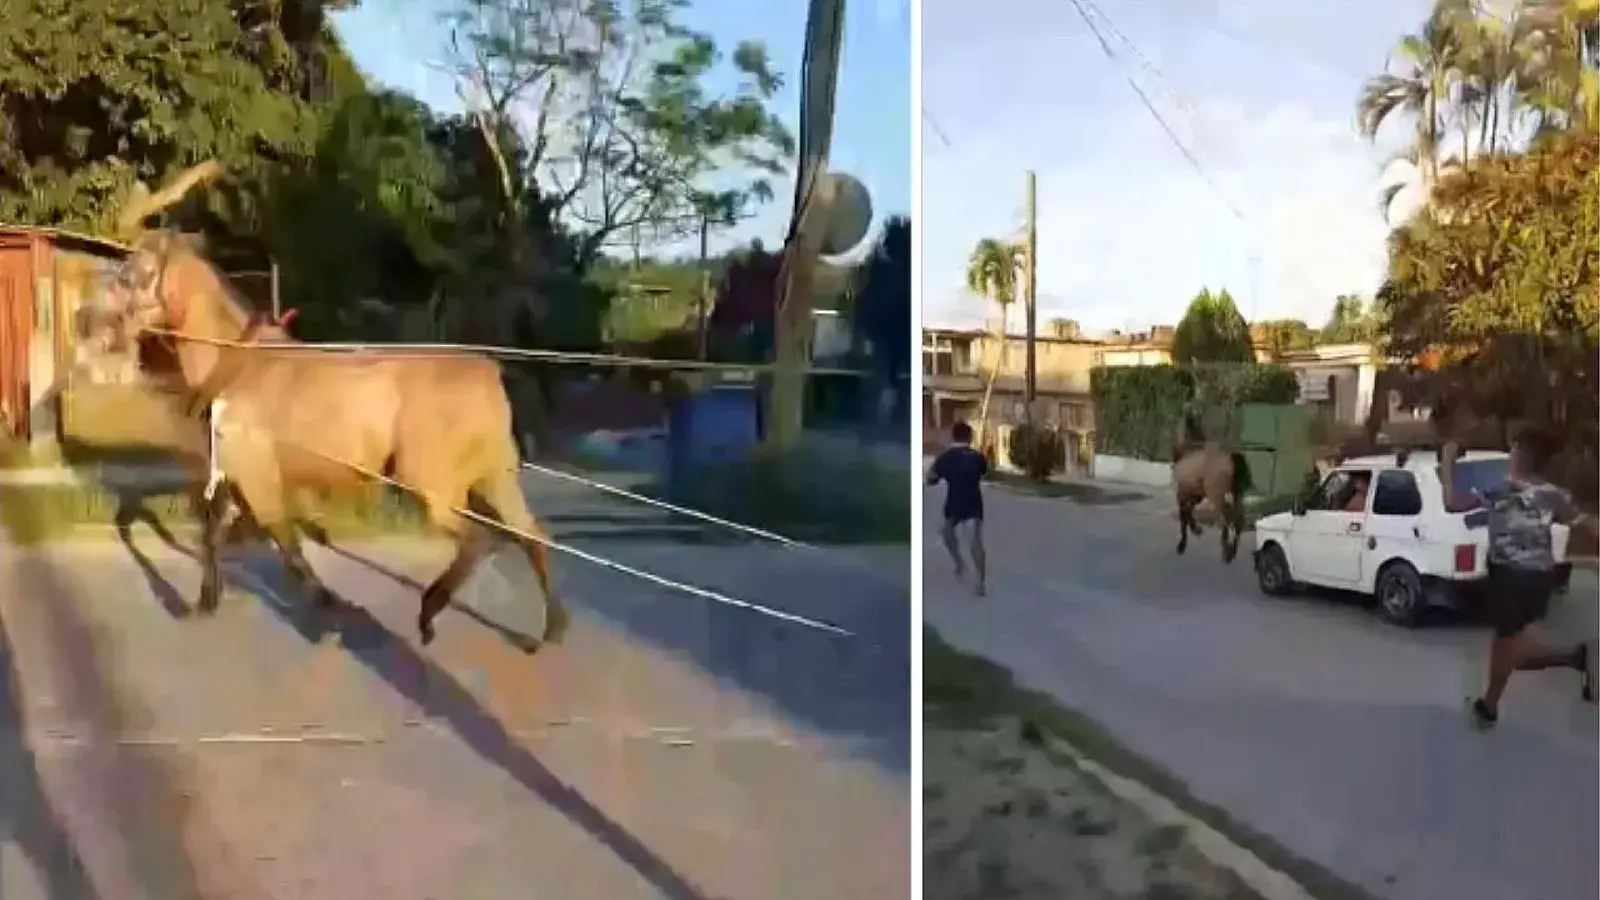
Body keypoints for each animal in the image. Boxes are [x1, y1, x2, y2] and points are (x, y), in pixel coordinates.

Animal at [101, 160, 569, 646]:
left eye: (130, 274)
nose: (98, 325)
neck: (237, 361)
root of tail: (487, 371)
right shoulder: (236, 476)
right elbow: (217, 536)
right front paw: (204, 601)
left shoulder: (256, 475)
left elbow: (285, 543)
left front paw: (329, 610)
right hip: (495, 474)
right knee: (530, 533)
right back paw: (551, 628)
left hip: (429, 479)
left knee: (478, 538)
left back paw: (428, 614)